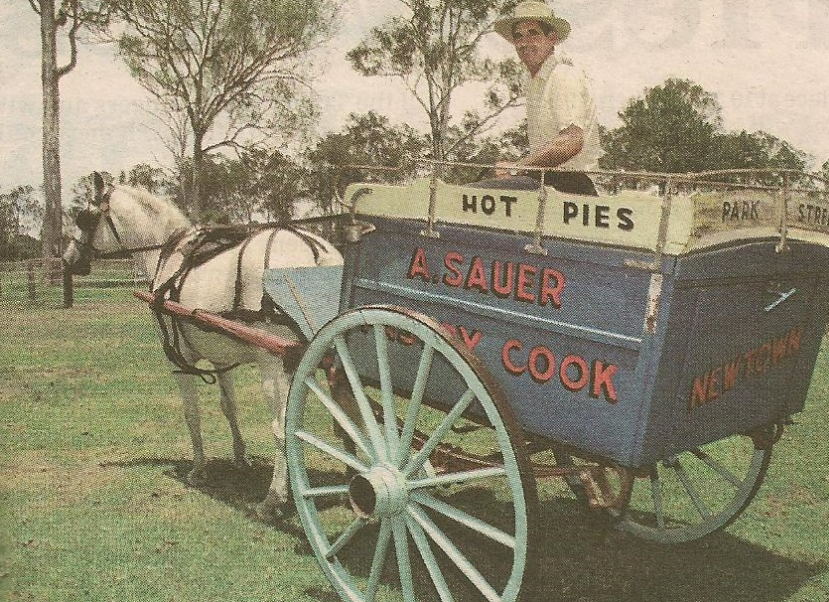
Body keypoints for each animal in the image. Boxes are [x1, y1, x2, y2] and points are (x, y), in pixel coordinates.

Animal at [60, 171, 340, 512]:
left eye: (84, 218)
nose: (68, 259)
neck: (168, 255)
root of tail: (317, 251)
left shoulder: (178, 358)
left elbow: (191, 412)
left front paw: (197, 468)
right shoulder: (221, 359)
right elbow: (229, 406)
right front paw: (240, 457)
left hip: (275, 366)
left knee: (281, 428)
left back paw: (272, 498)